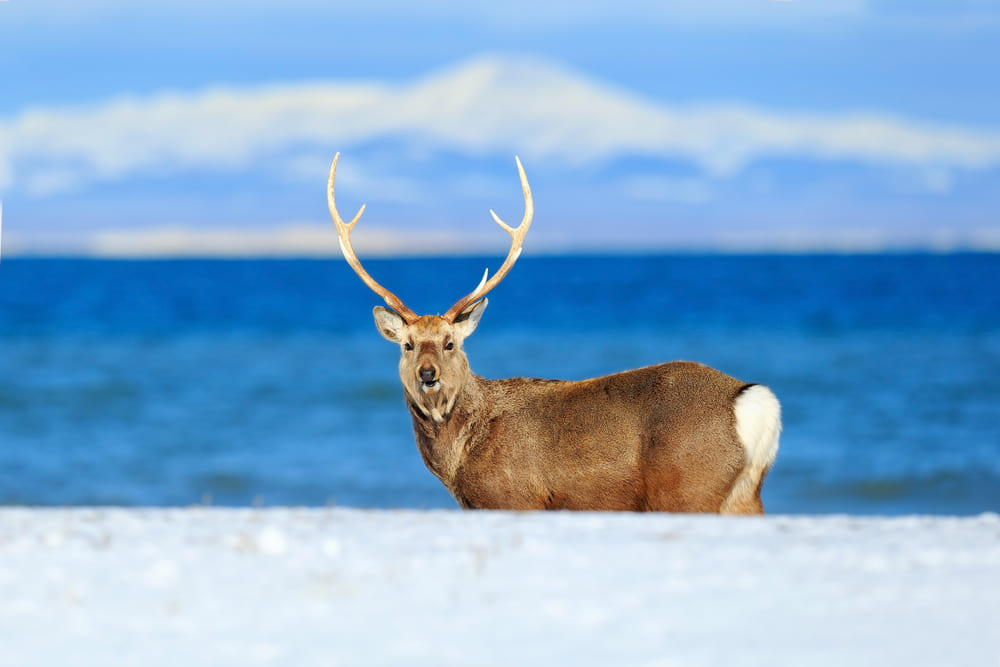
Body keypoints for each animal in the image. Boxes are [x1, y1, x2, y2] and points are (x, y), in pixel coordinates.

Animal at [328, 154, 780, 516]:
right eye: (406, 344)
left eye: (450, 343)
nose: (427, 373)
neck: (459, 459)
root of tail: (754, 401)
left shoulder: (513, 498)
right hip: (742, 494)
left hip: (689, 486)